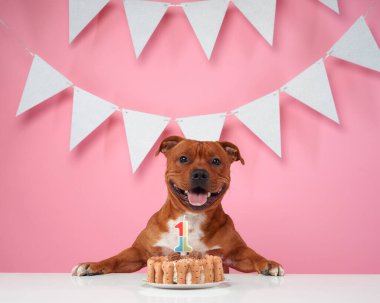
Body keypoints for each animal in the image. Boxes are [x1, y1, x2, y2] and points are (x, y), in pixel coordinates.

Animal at [72, 138, 284, 278]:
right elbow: (115, 259)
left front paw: (269, 263)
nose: (200, 173)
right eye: (183, 159)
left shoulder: (236, 253)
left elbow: (253, 255)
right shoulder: (139, 252)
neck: (190, 217)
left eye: (216, 161)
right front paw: (92, 265)